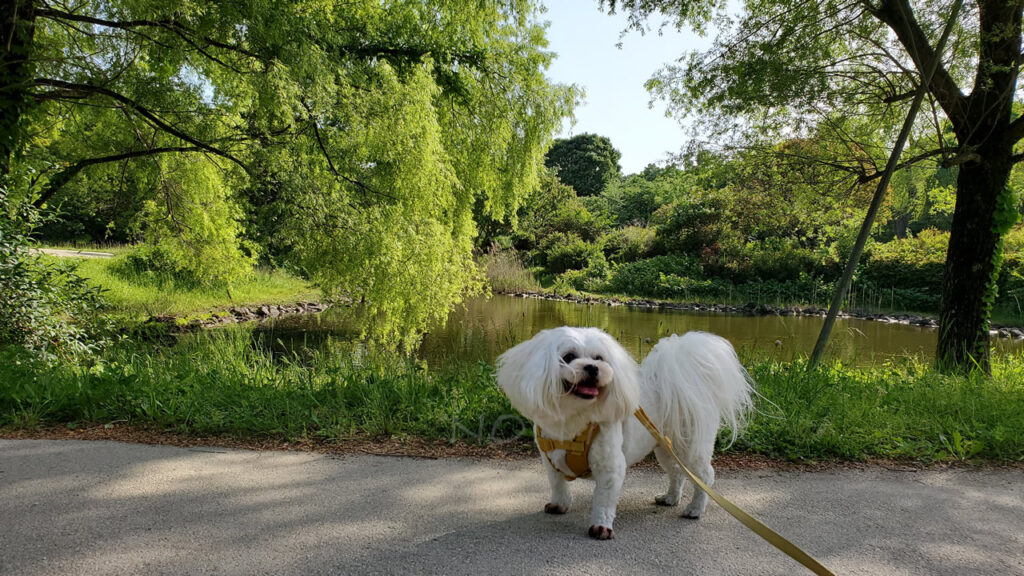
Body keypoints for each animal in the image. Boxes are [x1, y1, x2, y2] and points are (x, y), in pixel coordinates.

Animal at [495, 327, 753, 537]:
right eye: (568, 357)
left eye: (600, 358)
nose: (593, 367)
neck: (574, 417)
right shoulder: (550, 460)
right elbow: (558, 484)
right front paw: (559, 504)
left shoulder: (610, 466)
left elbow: (604, 500)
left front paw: (601, 527)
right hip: (664, 448)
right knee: (677, 472)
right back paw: (670, 498)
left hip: (691, 447)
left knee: (704, 476)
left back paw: (695, 509)